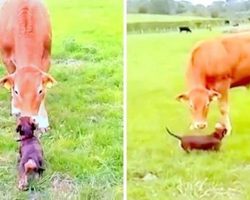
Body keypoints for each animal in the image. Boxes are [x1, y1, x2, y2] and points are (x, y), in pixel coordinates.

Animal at [0, 0, 55, 131]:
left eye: (39, 91)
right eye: (16, 91)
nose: (28, 120)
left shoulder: (46, 58)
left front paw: (43, 121)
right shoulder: (6, 59)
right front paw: (15, 108)